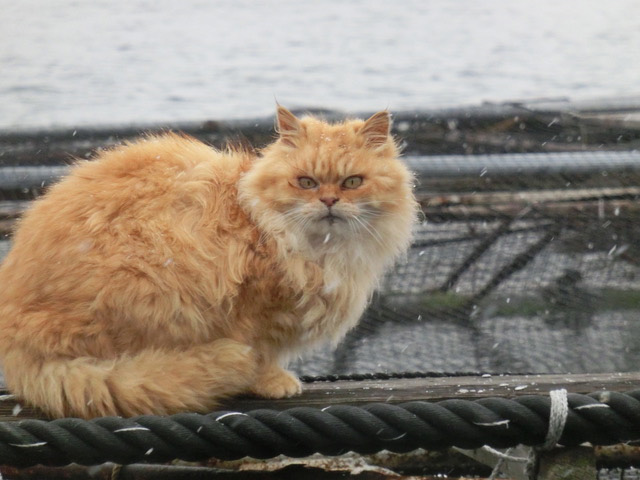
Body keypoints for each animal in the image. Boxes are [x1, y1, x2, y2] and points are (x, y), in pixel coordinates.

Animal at [0, 107, 418, 418]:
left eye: (352, 182)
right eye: (306, 182)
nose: (329, 201)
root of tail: (15, 344)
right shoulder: (254, 305)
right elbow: (260, 350)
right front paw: (272, 382)